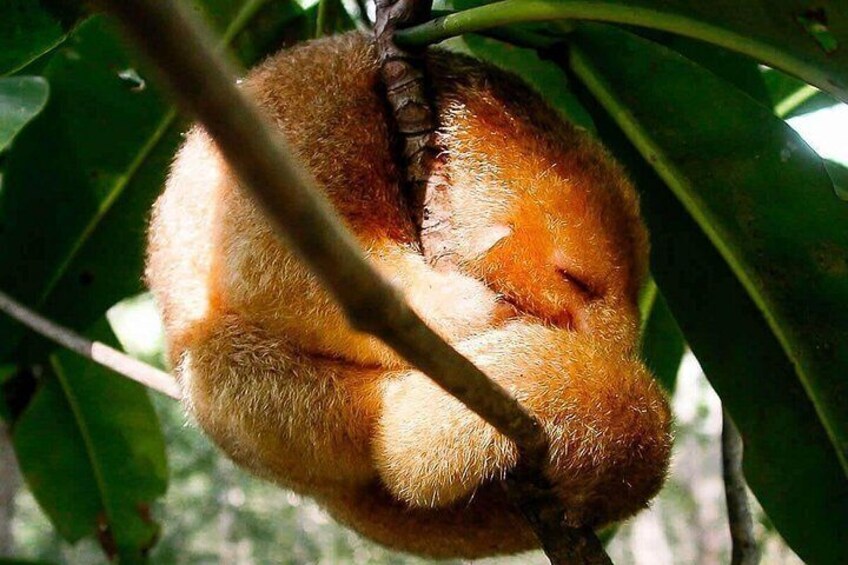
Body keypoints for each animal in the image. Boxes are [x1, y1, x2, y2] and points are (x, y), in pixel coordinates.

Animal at [145, 32, 672, 558]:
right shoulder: (318, 122)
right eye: (574, 280)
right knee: (216, 362)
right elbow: (267, 259)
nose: (616, 345)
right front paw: (465, 312)